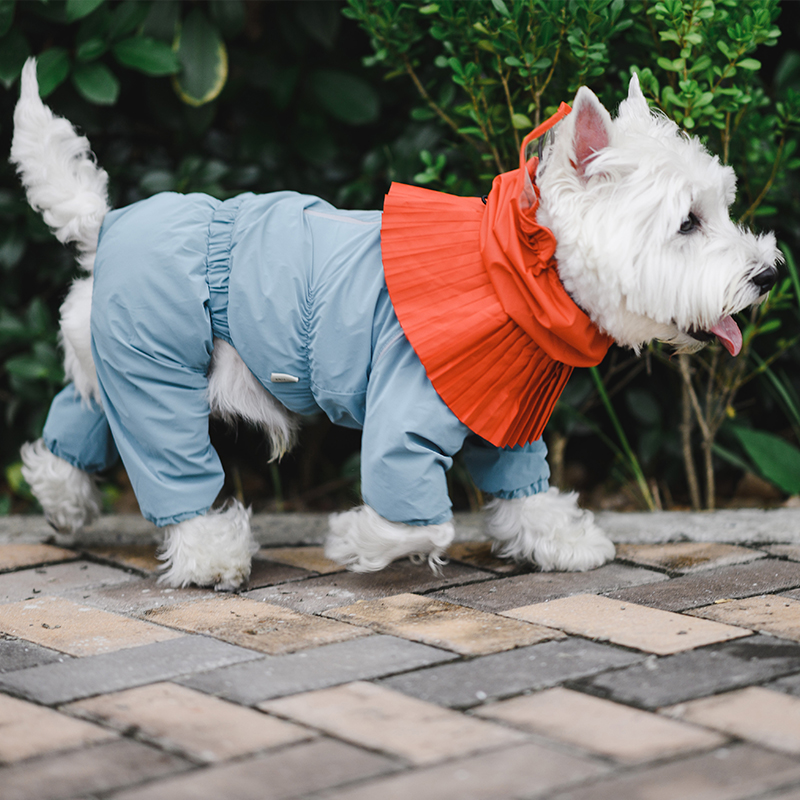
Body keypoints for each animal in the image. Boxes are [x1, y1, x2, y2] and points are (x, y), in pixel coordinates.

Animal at [10, 59, 776, 592]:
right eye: (687, 222)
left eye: (720, 206)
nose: (768, 274)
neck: (518, 270)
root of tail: (105, 223)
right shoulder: (405, 414)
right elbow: (426, 518)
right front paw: (355, 540)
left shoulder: (503, 414)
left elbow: (525, 485)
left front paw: (560, 540)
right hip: (157, 375)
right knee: (174, 470)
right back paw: (210, 556)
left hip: (116, 364)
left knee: (79, 417)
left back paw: (60, 495)